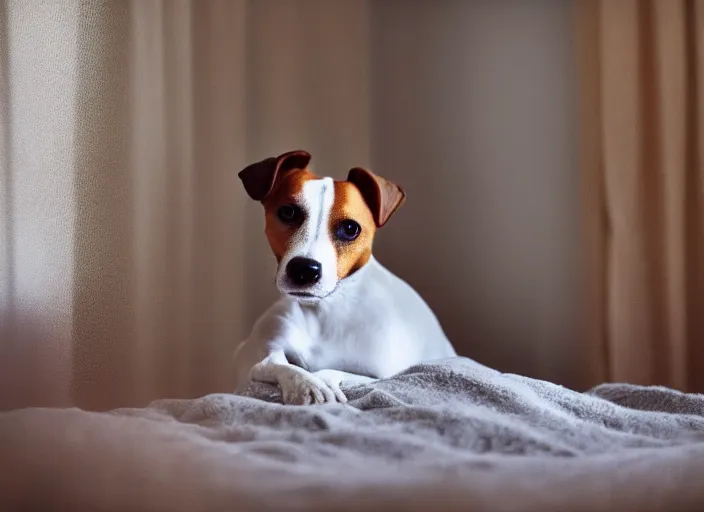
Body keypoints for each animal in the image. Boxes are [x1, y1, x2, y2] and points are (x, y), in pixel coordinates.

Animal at [234, 150, 456, 406]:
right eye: (288, 212)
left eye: (350, 228)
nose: (304, 269)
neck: (324, 311)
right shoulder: (260, 356)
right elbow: (280, 365)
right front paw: (306, 385)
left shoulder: (380, 374)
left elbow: (332, 372)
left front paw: (319, 383)